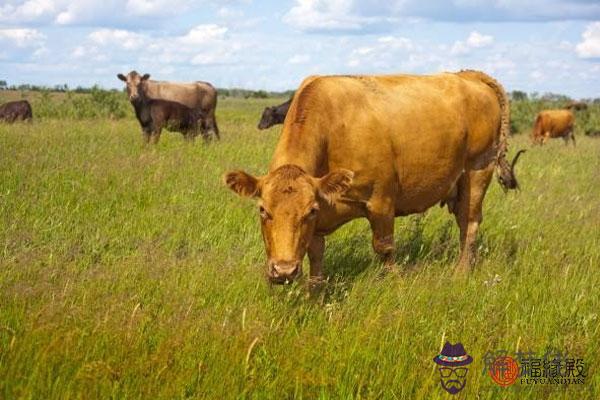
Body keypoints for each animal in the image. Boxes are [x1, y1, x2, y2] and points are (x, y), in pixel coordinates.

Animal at [223, 72, 524, 284]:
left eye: (308, 211)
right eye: (263, 210)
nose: (283, 270)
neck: (332, 129)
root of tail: (468, 75)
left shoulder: (381, 202)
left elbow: (384, 248)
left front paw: (394, 283)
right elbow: (316, 254)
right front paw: (315, 294)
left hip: (478, 170)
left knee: (468, 223)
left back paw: (461, 272)